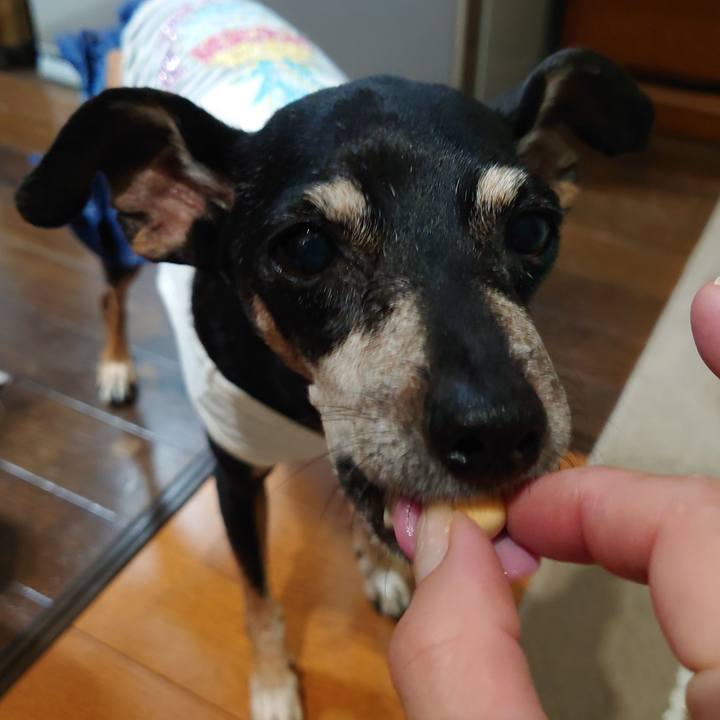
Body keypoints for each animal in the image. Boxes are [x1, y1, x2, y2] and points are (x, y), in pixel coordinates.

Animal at [15, 0, 653, 717]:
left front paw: (378, 566)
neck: (301, 404)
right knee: (108, 296)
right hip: (118, 242)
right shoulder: (234, 477)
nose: (497, 432)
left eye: (532, 230)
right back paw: (116, 366)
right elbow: (257, 597)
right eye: (305, 249)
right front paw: (272, 683)